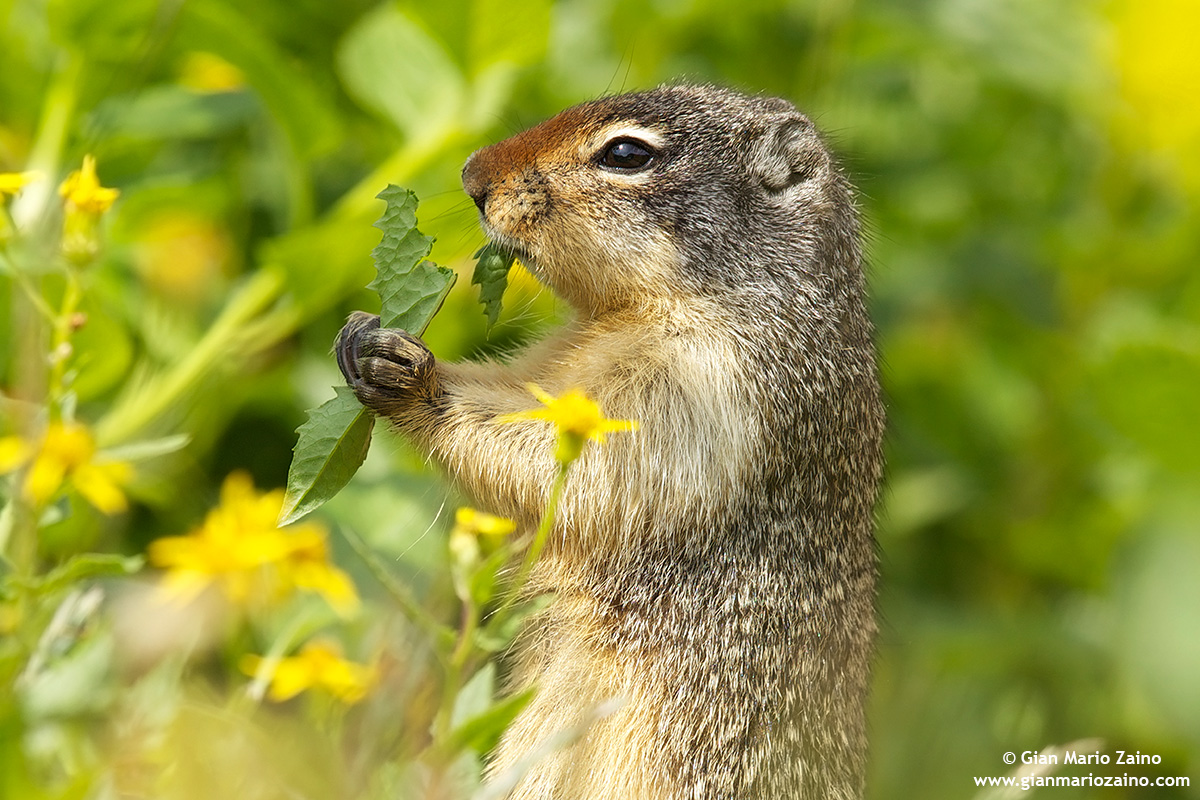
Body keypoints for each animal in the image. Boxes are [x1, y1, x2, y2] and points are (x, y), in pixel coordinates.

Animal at [337, 84, 885, 799]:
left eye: (626, 152)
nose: (471, 175)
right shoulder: (557, 363)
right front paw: (361, 333)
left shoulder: (697, 390)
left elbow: (566, 464)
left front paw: (409, 374)